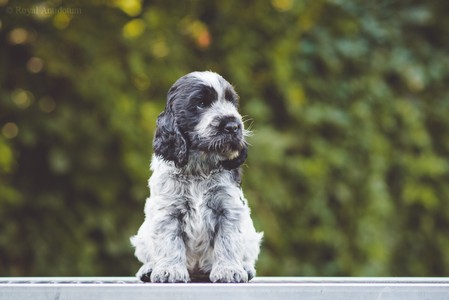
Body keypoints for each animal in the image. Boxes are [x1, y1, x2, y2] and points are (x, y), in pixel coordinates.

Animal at [130, 71, 260, 282]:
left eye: (232, 102)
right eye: (201, 103)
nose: (233, 126)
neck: (199, 168)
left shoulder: (228, 209)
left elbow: (228, 241)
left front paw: (229, 270)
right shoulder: (169, 211)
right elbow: (169, 242)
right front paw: (169, 271)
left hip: (251, 235)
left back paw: (246, 268)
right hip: (143, 235)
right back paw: (148, 269)